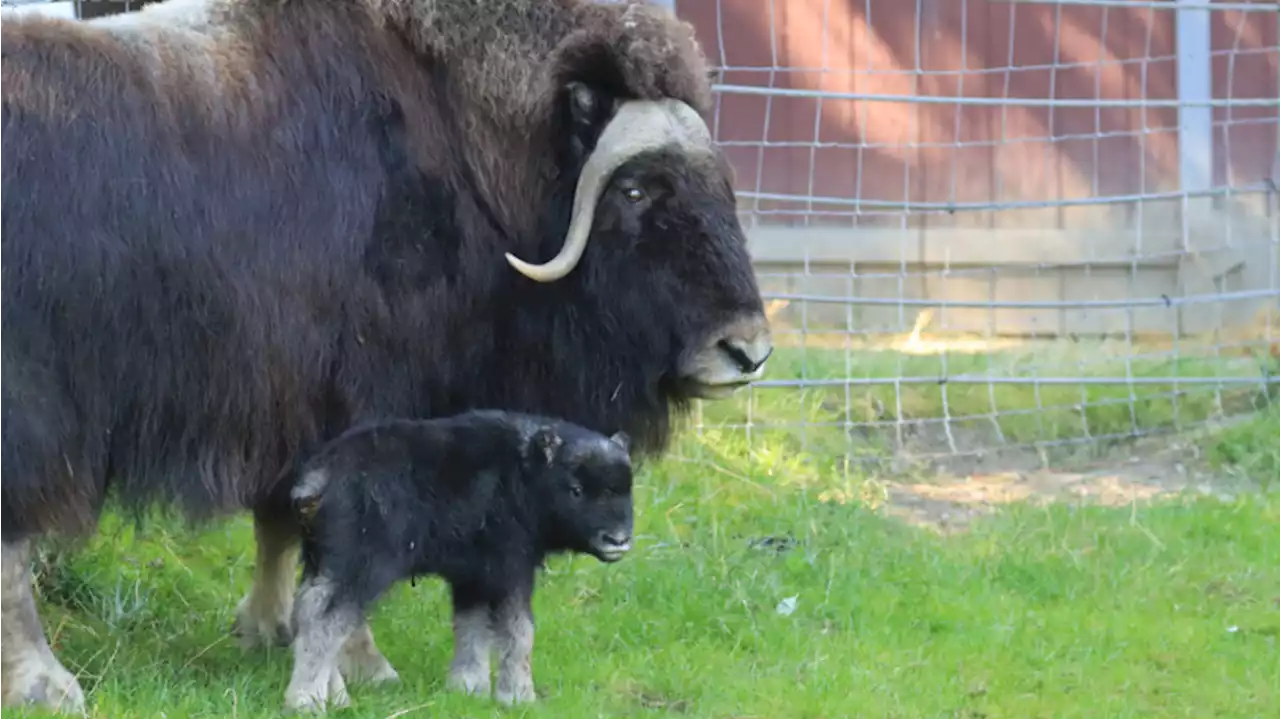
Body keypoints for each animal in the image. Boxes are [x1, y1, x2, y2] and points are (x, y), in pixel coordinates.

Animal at [284, 409, 634, 711]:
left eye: (626, 489)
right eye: (576, 489)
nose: (618, 540)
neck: (524, 475)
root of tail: (316, 481)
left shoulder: (472, 578)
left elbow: (471, 627)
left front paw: (468, 689)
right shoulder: (510, 572)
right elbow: (519, 631)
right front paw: (518, 697)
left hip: (322, 565)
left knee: (308, 613)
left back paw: (337, 698)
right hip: (358, 570)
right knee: (324, 622)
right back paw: (306, 701)